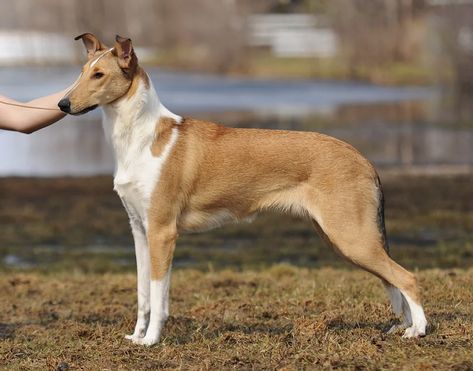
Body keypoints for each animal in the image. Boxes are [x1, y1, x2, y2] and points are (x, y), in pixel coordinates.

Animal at [57, 35, 426, 346]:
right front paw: (136, 337)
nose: (62, 104)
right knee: (394, 279)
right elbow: (143, 293)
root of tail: (364, 159)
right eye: (82, 72)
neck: (141, 139)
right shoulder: (139, 230)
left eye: (99, 75)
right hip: (341, 238)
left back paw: (418, 330)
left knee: (407, 277)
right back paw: (405, 326)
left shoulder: (162, 232)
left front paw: (151, 341)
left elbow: (160, 295)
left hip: (352, 238)